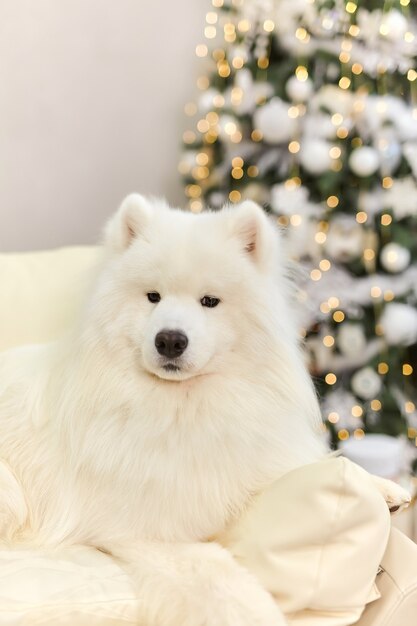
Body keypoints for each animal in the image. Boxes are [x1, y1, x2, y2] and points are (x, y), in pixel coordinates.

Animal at [0, 193, 410, 620]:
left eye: (210, 301)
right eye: (153, 297)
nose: (170, 340)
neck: (185, 406)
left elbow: (303, 465)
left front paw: (383, 488)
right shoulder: (148, 532)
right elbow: (222, 582)